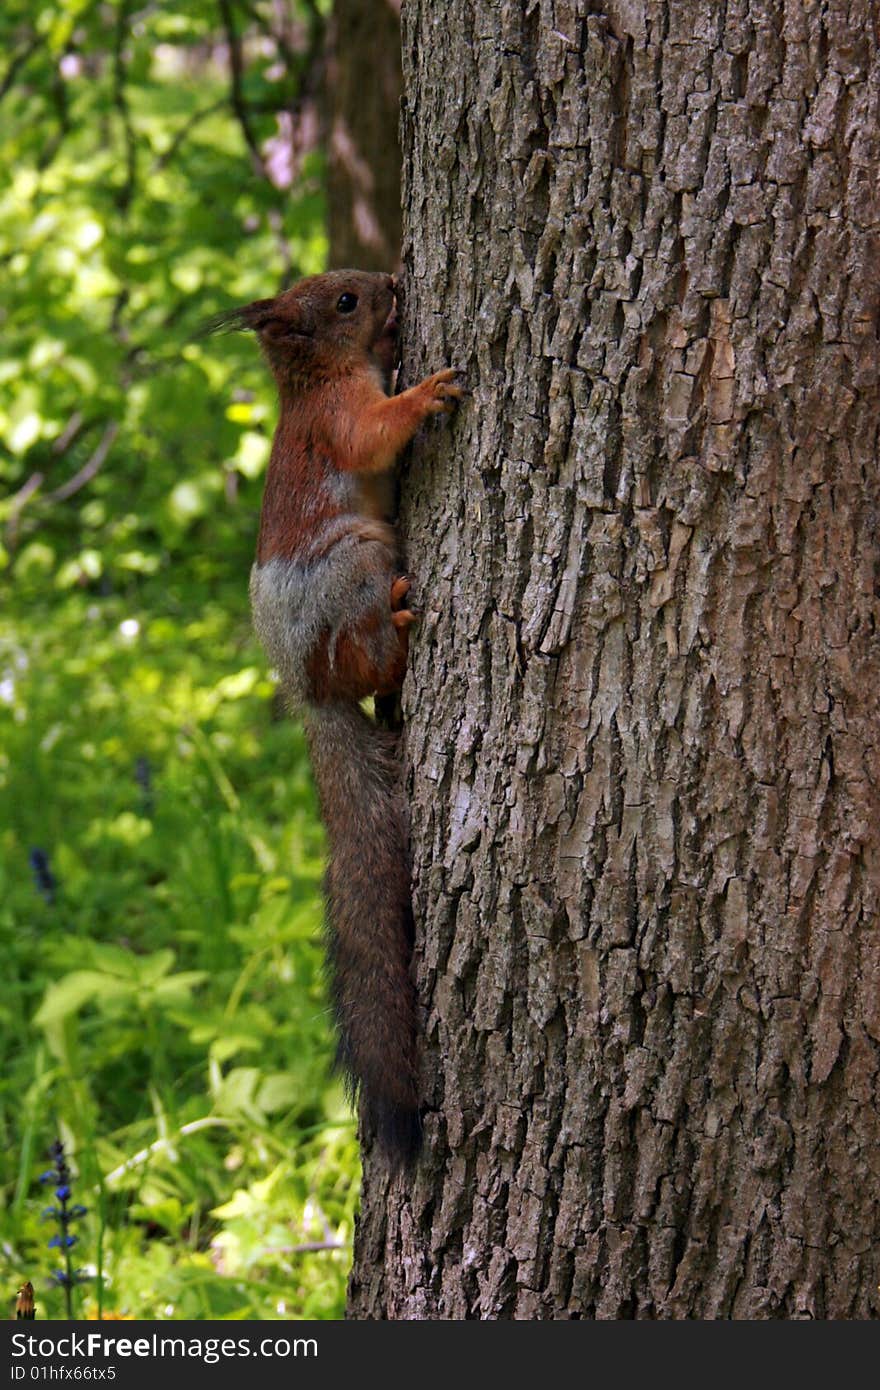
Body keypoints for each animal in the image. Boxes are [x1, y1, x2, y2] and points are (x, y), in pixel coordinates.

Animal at [215, 265, 464, 1156]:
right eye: (344, 302)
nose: (390, 281)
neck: (316, 378)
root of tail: (307, 690)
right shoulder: (337, 419)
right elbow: (371, 435)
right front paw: (425, 391)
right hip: (354, 563)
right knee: (369, 651)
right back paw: (398, 624)